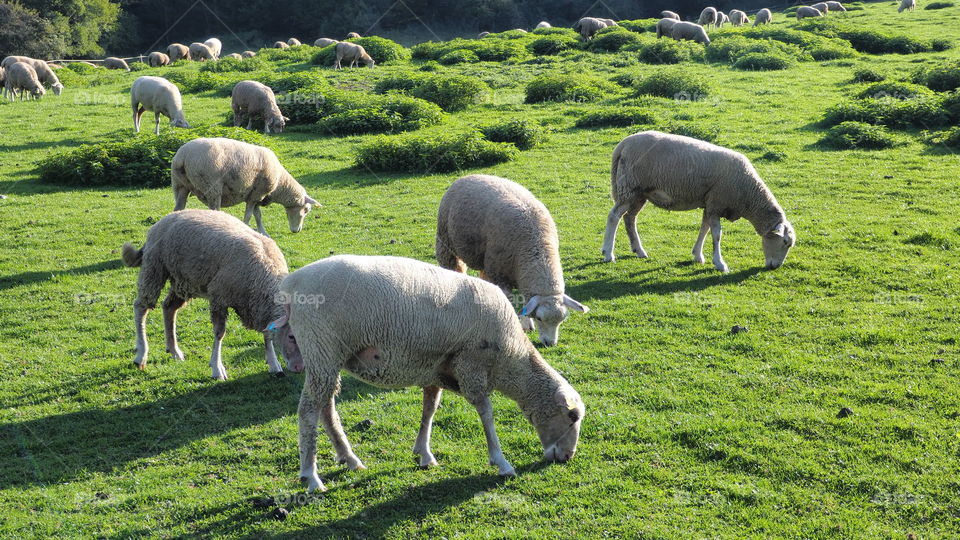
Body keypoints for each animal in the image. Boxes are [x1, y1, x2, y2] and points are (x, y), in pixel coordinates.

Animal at [121, 209, 304, 380]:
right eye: (291, 336)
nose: (300, 368)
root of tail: (165, 218)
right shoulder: (219, 298)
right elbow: (219, 333)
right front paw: (217, 368)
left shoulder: (259, 306)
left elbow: (267, 334)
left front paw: (274, 364)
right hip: (154, 267)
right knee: (141, 306)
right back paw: (141, 355)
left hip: (184, 280)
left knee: (168, 307)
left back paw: (174, 351)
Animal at [171, 137, 319, 236]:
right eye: (306, 210)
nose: (296, 231)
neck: (280, 185)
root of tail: (183, 156)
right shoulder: (256, 194)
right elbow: (248, 215)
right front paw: (246, 228)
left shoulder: (256, 195)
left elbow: (258, 215)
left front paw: (263, 232)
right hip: (212, 187)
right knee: (215, 209)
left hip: (179, 185)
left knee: (178, 208)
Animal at [277, 255, 585, 492]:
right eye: (572, 416)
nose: (568, 457)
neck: (510, 357)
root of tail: (291, 285)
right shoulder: (471, 365)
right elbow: (486, 413)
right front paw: (501, 462)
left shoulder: (435, 369)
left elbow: (430, 408)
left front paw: (423, 453)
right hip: (322, 346)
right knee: (308, 411)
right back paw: (311, 476)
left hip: (327, 356)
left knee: (326, 407)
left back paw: (349, 458)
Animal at [436, 174, 589, 347]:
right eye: (540, 318)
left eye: (562, 319)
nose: (550, 343)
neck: (535, 246)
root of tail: (467, 176)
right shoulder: (500, 275)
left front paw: (526, 323)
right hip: (446, 242)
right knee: (454, 267)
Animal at [601, 131, 795, 272]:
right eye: (785, 242)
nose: (775, 267)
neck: (748, 194)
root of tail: (622, 145)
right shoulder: (717, 203)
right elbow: (716, 234)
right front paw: (720, 263)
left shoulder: (709, 204)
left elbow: (704, 228)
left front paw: (697, 255)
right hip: (629, 187)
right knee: (614, 216)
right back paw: (608, 253)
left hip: (640, 194)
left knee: (629, 218)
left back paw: (639, 251)